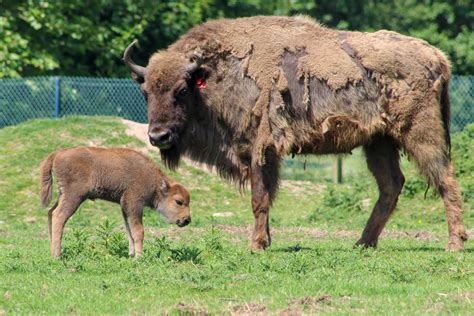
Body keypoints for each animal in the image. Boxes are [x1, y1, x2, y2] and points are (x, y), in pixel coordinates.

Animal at [39, 147, 191, 258]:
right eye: (179, 201)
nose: (187, 219)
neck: (155, 184)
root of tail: (57, 153)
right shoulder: (134, 204)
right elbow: (138, 230)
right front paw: (139, 257)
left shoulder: (125, 207)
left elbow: (129, 229)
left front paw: (131, 254)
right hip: (74, 197)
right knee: (59, 216)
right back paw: (57, 255)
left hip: (62, 195)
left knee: (50, 212)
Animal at [122, 16, 466, 251]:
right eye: (146, 92)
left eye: (181, 90)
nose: (159, 136)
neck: (215, 74)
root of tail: (436, 56)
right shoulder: (265, 155)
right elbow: (268, 198)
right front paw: (265, 240)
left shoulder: (260, 149)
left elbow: (260, 198)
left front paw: (256, 244)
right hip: (378, 142)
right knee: (391, 186)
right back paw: (362, 243)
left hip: (420, 133)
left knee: (445, 179)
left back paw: (454, 243)